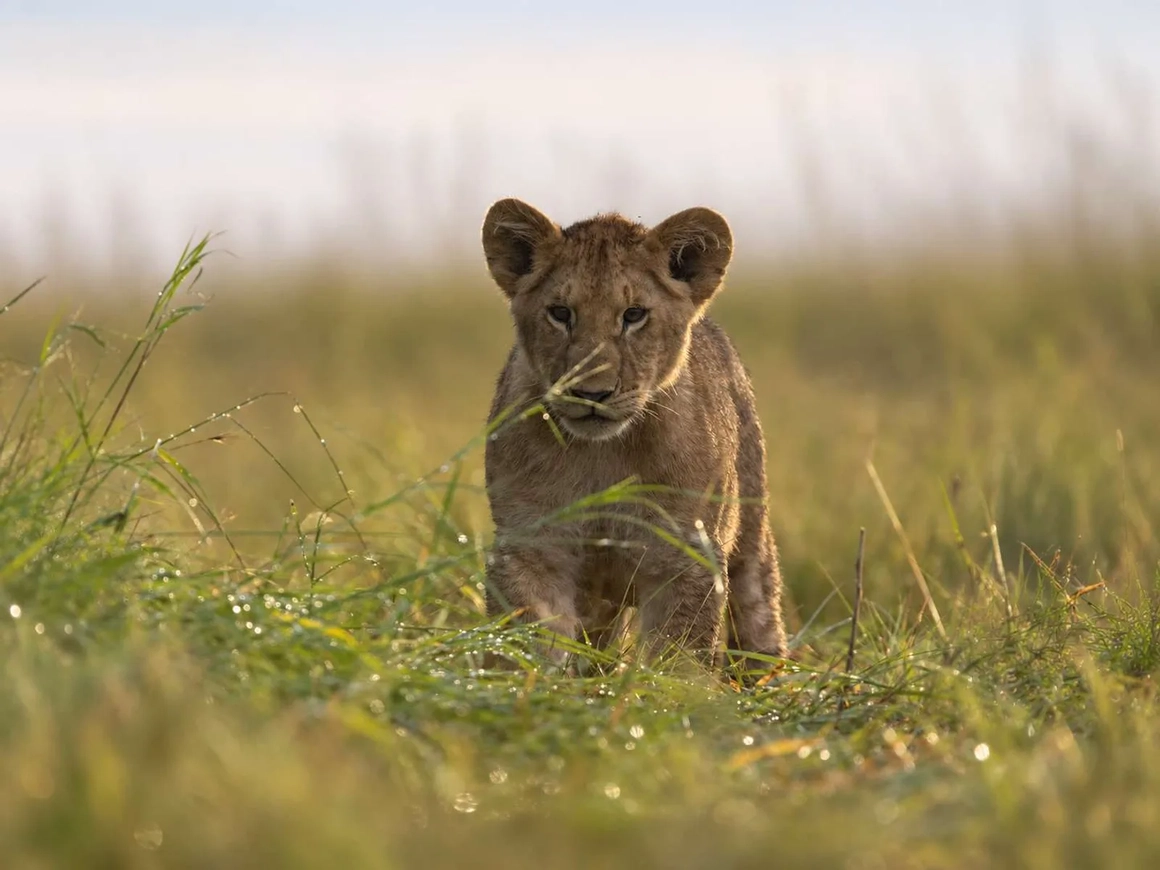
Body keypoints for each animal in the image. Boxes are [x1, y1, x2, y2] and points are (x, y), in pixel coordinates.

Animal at [479, 197, 787, 675]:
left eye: (634, 315)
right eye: (561, 313)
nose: (592, 393)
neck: (602, 456)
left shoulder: (685, 555)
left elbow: (678, 655)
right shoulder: (532, 545)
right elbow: (530, 638)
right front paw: (527, 685)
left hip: (751, 534)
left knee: (758, 611)